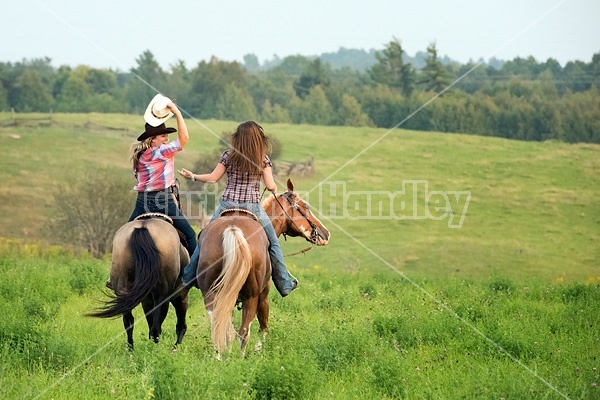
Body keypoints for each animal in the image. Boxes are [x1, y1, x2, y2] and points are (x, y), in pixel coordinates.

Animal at [86, 214, 189, 348]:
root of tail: (143, 227)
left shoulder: (146, 300)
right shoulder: (179, 294)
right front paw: (176, 346)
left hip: (123, 290)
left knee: (128, 321)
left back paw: (131, 348)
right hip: (163, 296)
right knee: (158, 326)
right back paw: (161, 348)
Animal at [195, 180, 330, 354]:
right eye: (305, 206)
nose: (325, 233)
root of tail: (233, 229)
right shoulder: (263, 295)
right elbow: (263, 327)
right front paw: (259, 347)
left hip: (211, 293)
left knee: (221, 329)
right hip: (251, 296)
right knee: (243, 332)